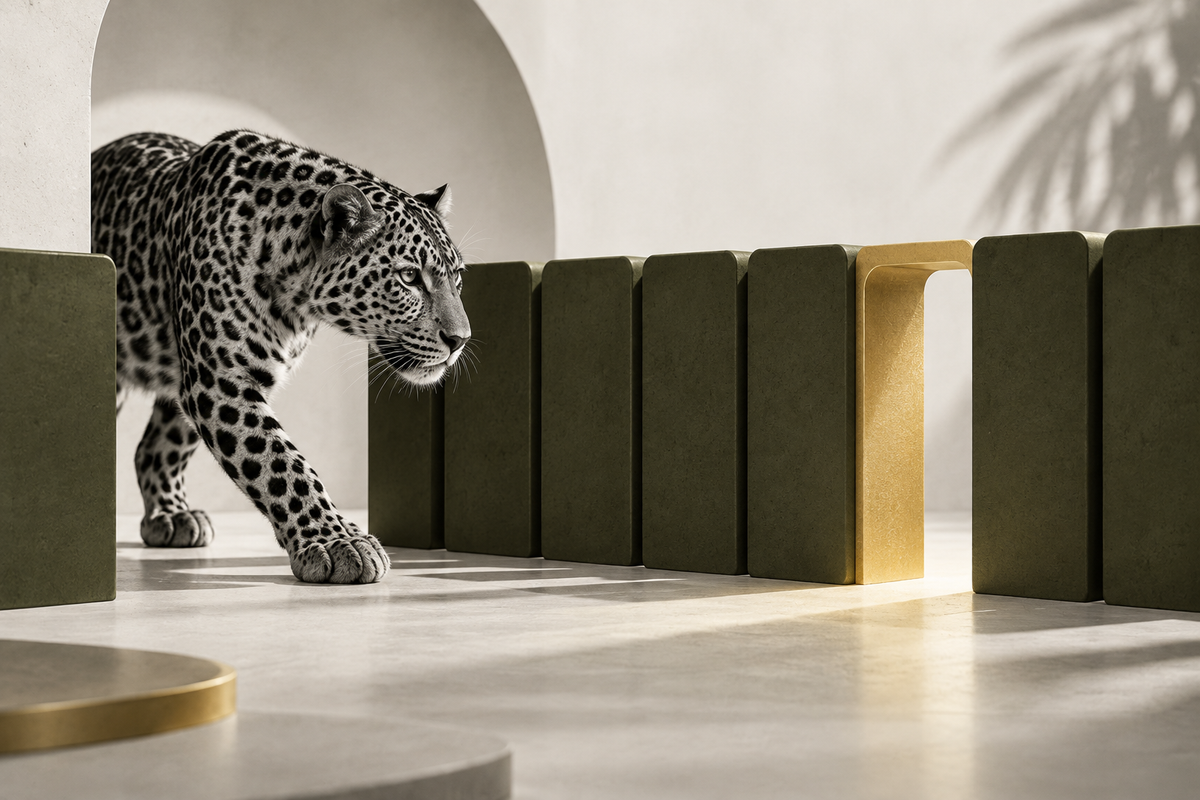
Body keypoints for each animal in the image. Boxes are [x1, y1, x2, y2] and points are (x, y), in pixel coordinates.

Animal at [91, 129, 471, 584]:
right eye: (409, 276)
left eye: (458, 278)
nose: (460, 340)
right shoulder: (221, 379)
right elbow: (281, 464)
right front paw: (336, 542)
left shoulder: (224, 378)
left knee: (153, 449)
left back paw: (171, 515)